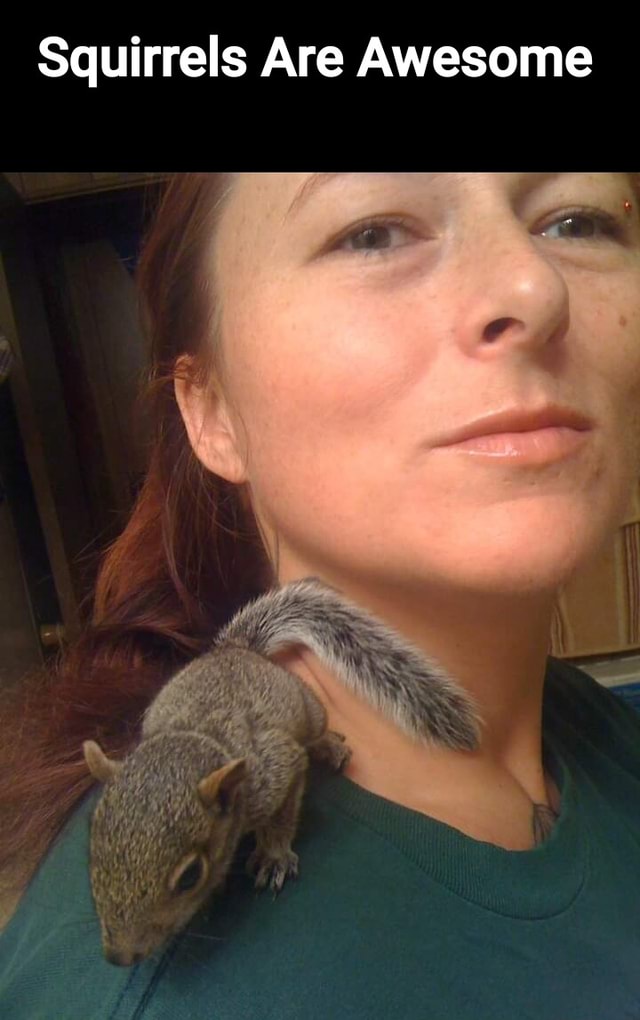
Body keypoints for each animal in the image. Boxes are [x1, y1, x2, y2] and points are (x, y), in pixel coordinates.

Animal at [83, 576, 482, 967]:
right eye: (91, 853)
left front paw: (273, 856)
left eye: (190, 876)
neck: (203, 738)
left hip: (310, 707)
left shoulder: (277, 769)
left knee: (316, 731)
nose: (119, 957)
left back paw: (328, 746)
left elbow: (284, 809)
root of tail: (236, 649)